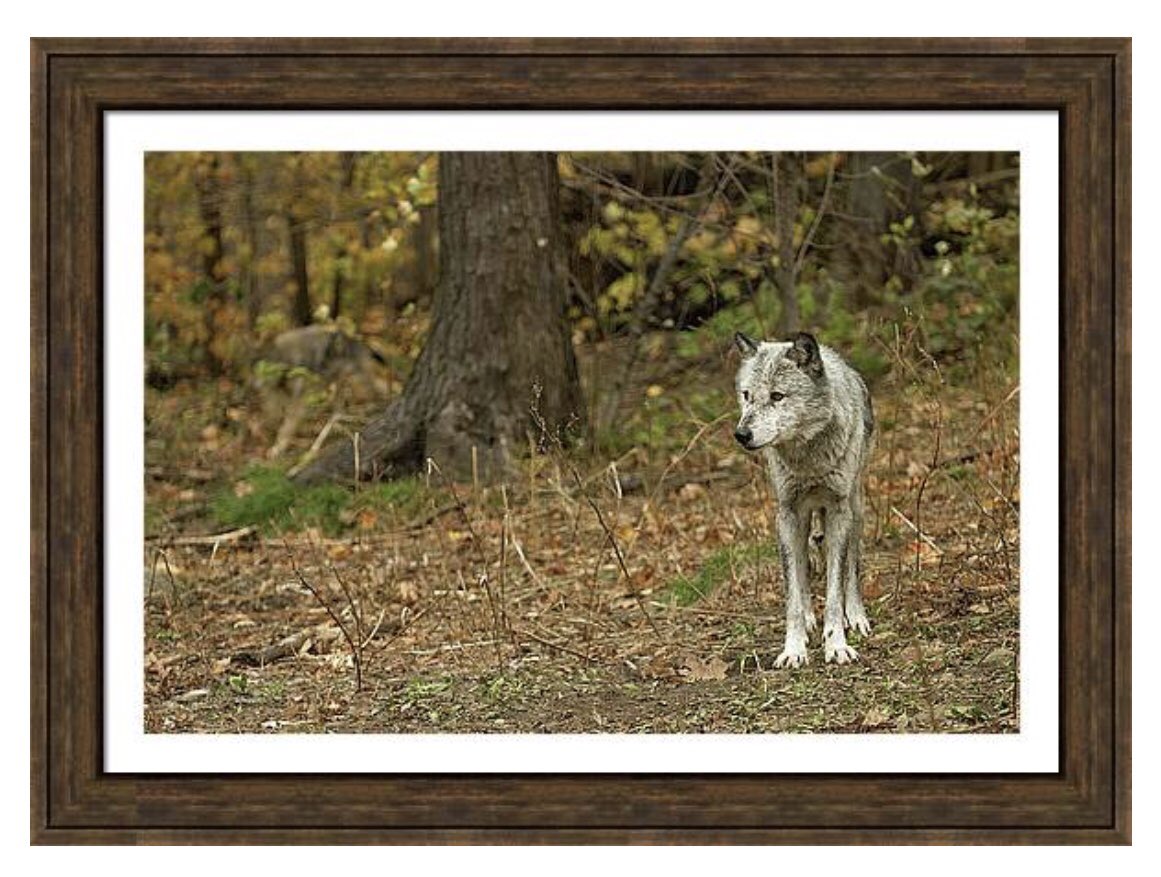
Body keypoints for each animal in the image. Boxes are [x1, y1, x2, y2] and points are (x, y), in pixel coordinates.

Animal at [733, 331, 874, 668]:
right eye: (747, 395)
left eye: (777, 396)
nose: (741, 434)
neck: (808, 458)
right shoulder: (787, 514)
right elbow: (793, 593)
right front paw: (793, 649)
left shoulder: (838, 510)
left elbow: (835, 590)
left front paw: (837, 645)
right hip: (803, 519)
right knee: (804, 566)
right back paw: (811, 619)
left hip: (855, 509)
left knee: (853, 567)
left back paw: (856, 617)